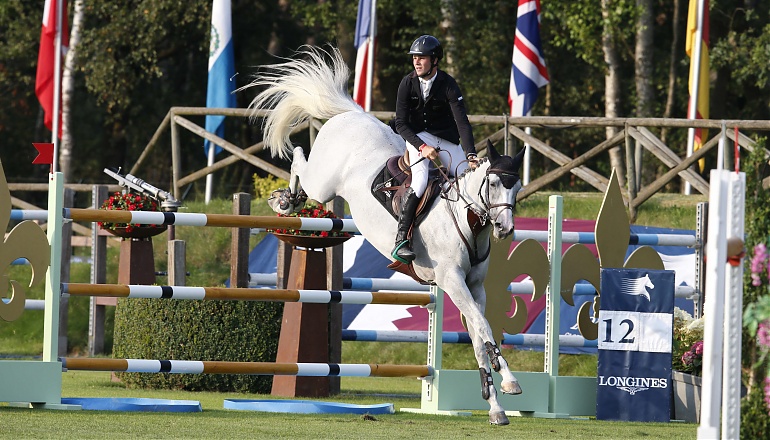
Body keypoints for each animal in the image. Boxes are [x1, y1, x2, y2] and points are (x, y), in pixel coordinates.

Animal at [245, 46, 525, 425]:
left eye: (516, 186)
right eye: (493, 183)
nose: (505, 229)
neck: (466, 220)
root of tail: (352, 115)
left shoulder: (474, 286)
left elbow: (479, 337)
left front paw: (495, 406)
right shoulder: (451, 281)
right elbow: (484, 328)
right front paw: (509, 382)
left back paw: (290, 198)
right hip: (323, 182)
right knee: (300, 160)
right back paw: (286, 199)